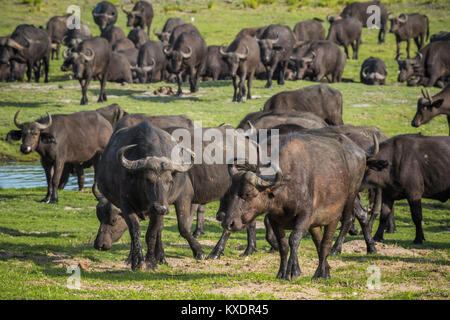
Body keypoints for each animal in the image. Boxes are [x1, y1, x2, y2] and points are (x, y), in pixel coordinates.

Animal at [221, 131, 370, 278]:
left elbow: (294, 239)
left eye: (248, 194)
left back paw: (322, 271)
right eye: (230, 192)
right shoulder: (275, 220)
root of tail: (360, 152)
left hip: (340, 209)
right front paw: (282, 272)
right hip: (315, 224)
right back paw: (326, 270)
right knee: (319, 242)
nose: (228, 223)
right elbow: (283, 245)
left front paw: (294, 271)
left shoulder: (305, 216)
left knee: (329, 240)